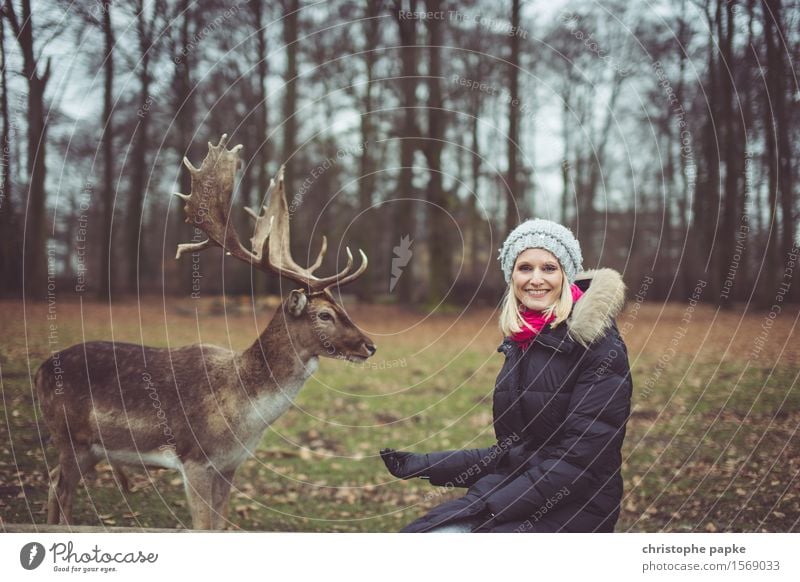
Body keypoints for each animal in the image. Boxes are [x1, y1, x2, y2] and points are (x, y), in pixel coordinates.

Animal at [36, 135, 376, 532]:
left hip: (89, 448)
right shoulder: (194, 458)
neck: (242, 415)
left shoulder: (231, 464)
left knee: (53, 481)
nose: (370, 345)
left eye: (342, 308)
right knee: (60, 486)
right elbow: (202, 526)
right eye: (324, 314)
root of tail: (39, 371)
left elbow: (220, 524)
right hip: (69, 436)